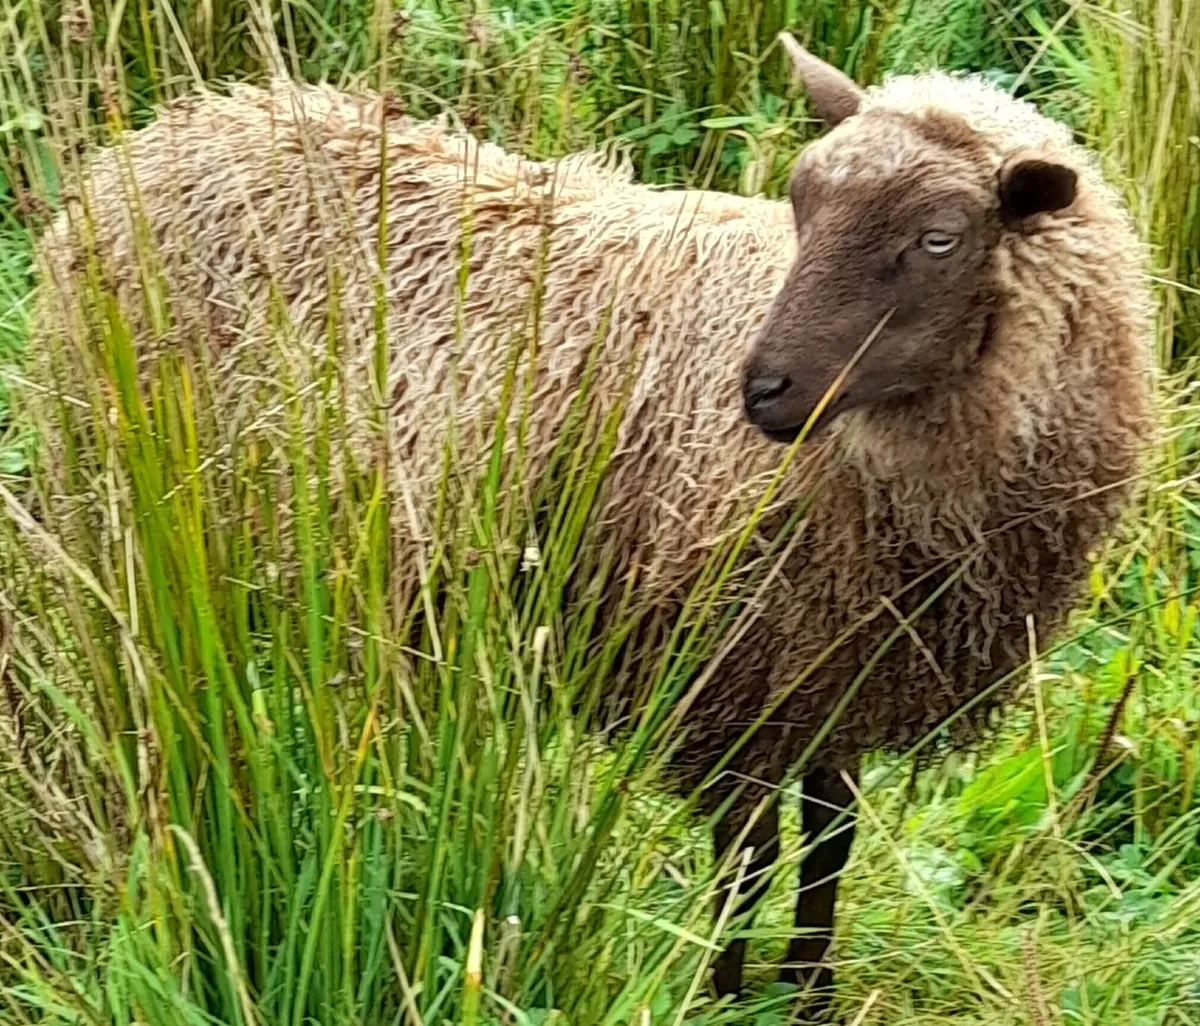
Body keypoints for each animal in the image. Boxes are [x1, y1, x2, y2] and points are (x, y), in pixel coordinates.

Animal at [33, 35, 1154, 1011]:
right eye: (800, 203)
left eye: (938, 239)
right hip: (122, 517)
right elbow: (749, 854)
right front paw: (721, 994)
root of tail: (177, 129)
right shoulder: (723, 673)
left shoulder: (831, 666)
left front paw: (811, 993)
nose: (763, 390)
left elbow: (829, 844)